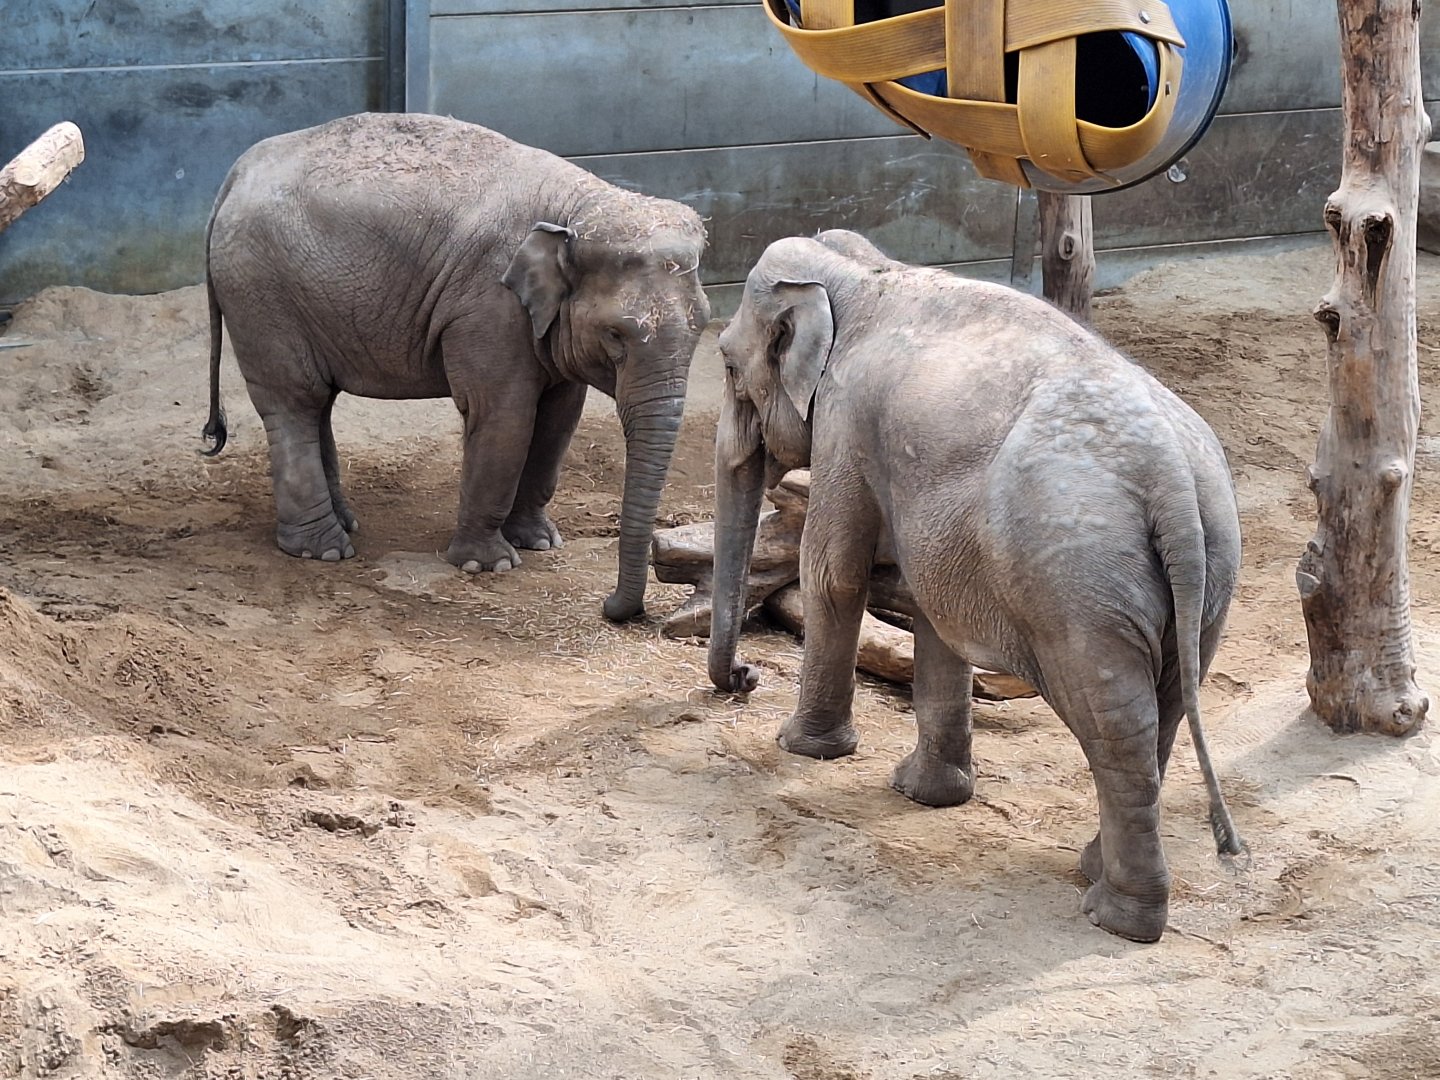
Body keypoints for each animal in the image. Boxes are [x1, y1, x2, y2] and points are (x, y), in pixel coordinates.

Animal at [201, 112, 710, 620]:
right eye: (616, 335)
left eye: (704, 323)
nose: (612, 607)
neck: (577, 205)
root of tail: (236, 173)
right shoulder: (488, 307)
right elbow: (504, 418)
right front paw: (488, 565)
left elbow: (558, 421)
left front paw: (541, 542)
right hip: (261, 295)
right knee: (294, 402)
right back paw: (323, 549)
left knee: (317, 402)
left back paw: (345, 524)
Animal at [707, 229, 1244, 942]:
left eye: (727, 365)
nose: (744, 676)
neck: (865, 274)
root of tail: (1173, 480)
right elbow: (933, 607)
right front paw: (925, 793)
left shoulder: (848, 422)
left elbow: (833, 572)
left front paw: (804, 749)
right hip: (1209, 575)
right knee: (1171, 700)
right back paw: (1094, 869)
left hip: (1079, 582)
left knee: (1115, 719)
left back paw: (1116, 915)